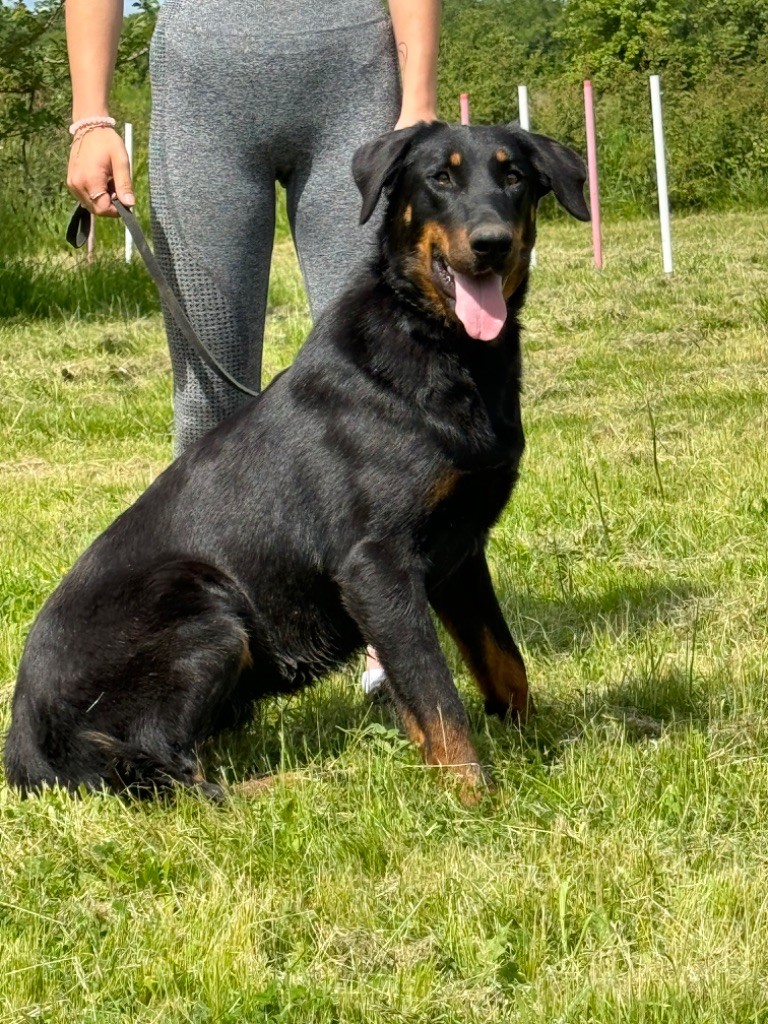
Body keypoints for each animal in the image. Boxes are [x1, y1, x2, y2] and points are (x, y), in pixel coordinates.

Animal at [4, 120, 588, 800]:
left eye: (513, 176)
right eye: (440, 178)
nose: (491, 243)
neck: (442, 349)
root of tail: (24, 746)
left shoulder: (461, 553)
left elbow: (504, 662)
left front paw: (535, 745)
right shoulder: (376, 566)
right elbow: (437, 697)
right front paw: (475, 800)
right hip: (204, 602)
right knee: (170, 770)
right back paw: (297, 782)